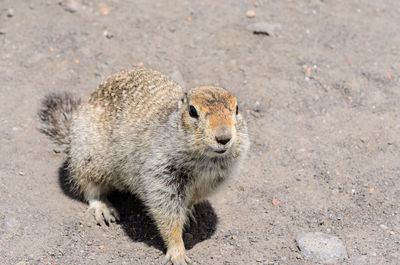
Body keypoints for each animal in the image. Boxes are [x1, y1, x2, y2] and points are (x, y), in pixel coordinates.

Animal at [38, 67, 250, 262]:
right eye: (192, 111)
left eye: (237, 108)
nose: (224, 138)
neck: (205, 162)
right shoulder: (161, 172)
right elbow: (166, 212)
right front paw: (178, 253)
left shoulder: (211, 182)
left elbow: (190, 201)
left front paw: (188, 213)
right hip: (88, 158)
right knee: (89, 187)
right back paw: (102, 208)